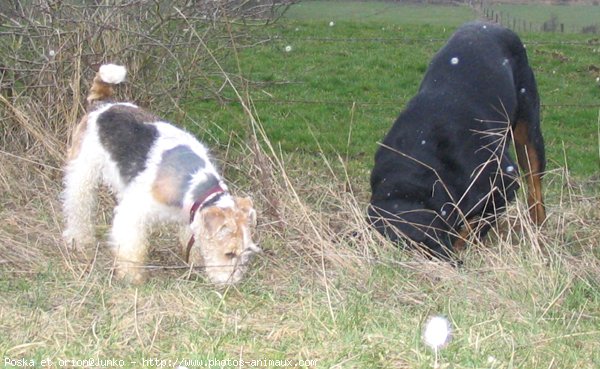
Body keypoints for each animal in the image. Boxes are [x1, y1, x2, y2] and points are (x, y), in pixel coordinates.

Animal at [62, 64, 260, 284]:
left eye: (246, 253)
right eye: (229, 253)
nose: (231, 284)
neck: (196, 188)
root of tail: (103, 105)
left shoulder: (188, 216)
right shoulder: (133, 214)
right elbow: (132, 249)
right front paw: (132, 277)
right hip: (83, 173)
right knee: (78, 206)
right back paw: (79, 239)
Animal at [368, 20, 548, 256]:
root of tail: (491, 24)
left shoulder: (505, 181)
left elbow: (475, 228)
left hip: (528, 128)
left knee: (535, 186)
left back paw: (539, 230)